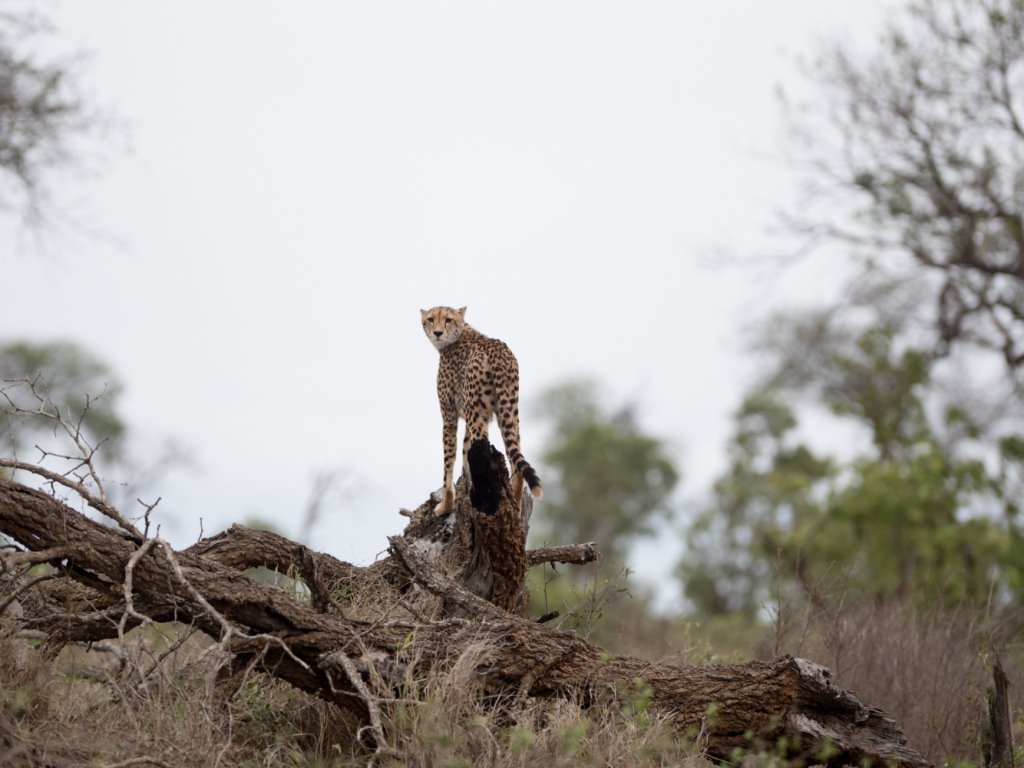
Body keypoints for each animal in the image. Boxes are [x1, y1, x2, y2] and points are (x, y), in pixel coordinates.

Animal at [419, 307, 544, 518]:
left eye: (448, 319)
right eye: (430, 319)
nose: (437, 333)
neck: (461, 332)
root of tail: (497, 349)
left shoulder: (450, 416)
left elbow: (448, 464)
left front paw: (445, 505)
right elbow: (465, 454)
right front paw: (465, 491)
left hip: (479, 417)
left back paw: (487, 502)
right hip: (509, 412)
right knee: (516, 461)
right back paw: (515, 509)